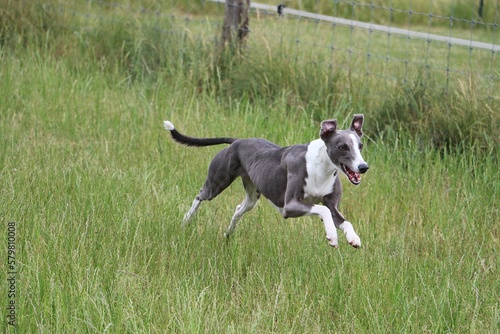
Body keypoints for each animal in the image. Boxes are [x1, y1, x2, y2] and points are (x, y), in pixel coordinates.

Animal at [164, 115, 368, 248]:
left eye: (360, 146)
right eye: (342, 147)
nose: (363, 167)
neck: (321, 167)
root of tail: (238, 141)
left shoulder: (333, 207)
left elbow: (342, 219)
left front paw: (354, 238)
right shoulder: (290, 206)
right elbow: (322, 210)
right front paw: (332, 236)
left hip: (252, 197)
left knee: (238, 209)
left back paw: (228, 234)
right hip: (217, 182)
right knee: (200, 195)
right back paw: (186, 220)